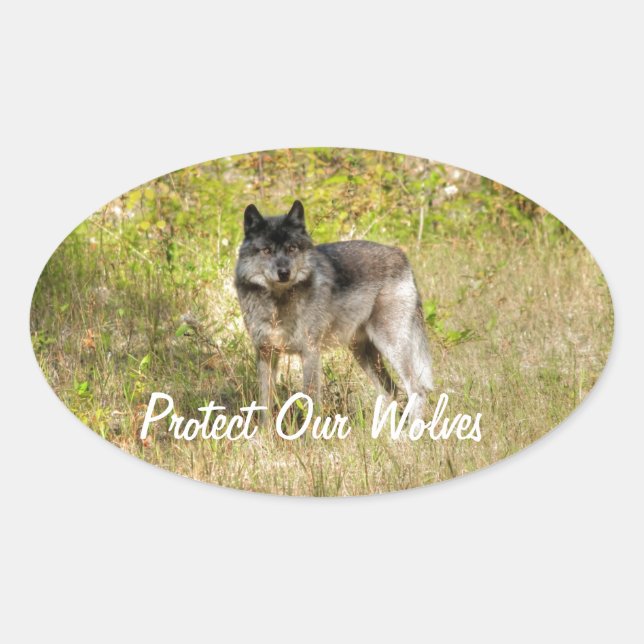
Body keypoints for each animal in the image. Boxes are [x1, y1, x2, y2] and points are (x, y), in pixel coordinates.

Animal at [234, 200, 433, 420]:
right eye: (266, 250)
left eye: (292, 248)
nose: (284, 273)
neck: (278, 303)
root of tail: (402, 255)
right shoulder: (265, 354)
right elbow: (264, 405)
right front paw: (265, 430)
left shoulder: (310, 353)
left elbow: (311, 402)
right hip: (363, 353)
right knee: (390, 391)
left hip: (390, 346)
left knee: (416, 389)